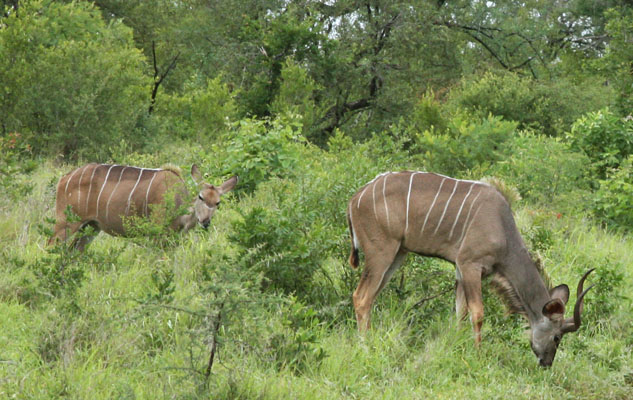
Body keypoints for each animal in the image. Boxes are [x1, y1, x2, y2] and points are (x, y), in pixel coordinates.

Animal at [48, 162, 237, 250]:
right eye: (201, 197)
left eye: (218, 202)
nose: (205, 221)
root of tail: (64, 178)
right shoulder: (157, 234)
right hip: (67, 222)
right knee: (51, 244)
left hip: (92, 226)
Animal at [348, 170, 596, 368]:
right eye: (556, 337)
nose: (546, 363)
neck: (503, 229)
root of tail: (355, 199)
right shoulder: (470, 265)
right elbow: (477, 313)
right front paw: (477, 354)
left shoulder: (460, 270)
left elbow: (461, 312)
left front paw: (455, 346)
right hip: (382, 251)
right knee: (361, 296)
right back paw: (365, 345)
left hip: (398, 253)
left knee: (370, 297)